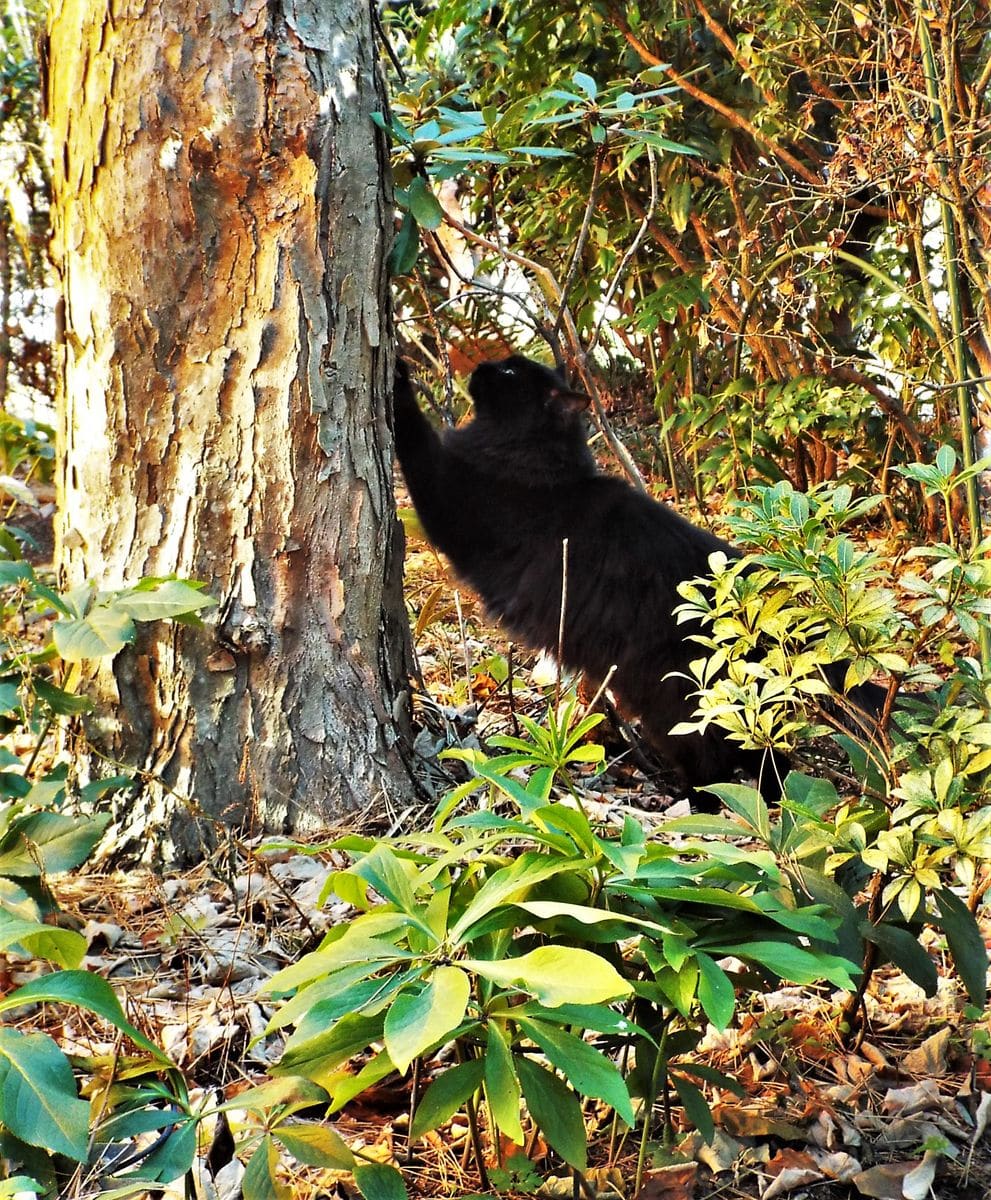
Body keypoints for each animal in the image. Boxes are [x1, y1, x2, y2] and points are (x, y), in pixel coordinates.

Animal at [391, 350, 873, 801]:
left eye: (510, 373)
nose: (481, 368)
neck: (541, 464)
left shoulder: (450, 503)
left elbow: (413, 434)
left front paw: (395, 367)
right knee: (766, 754)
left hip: (677, 707)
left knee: (721, 762)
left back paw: (706, 806)